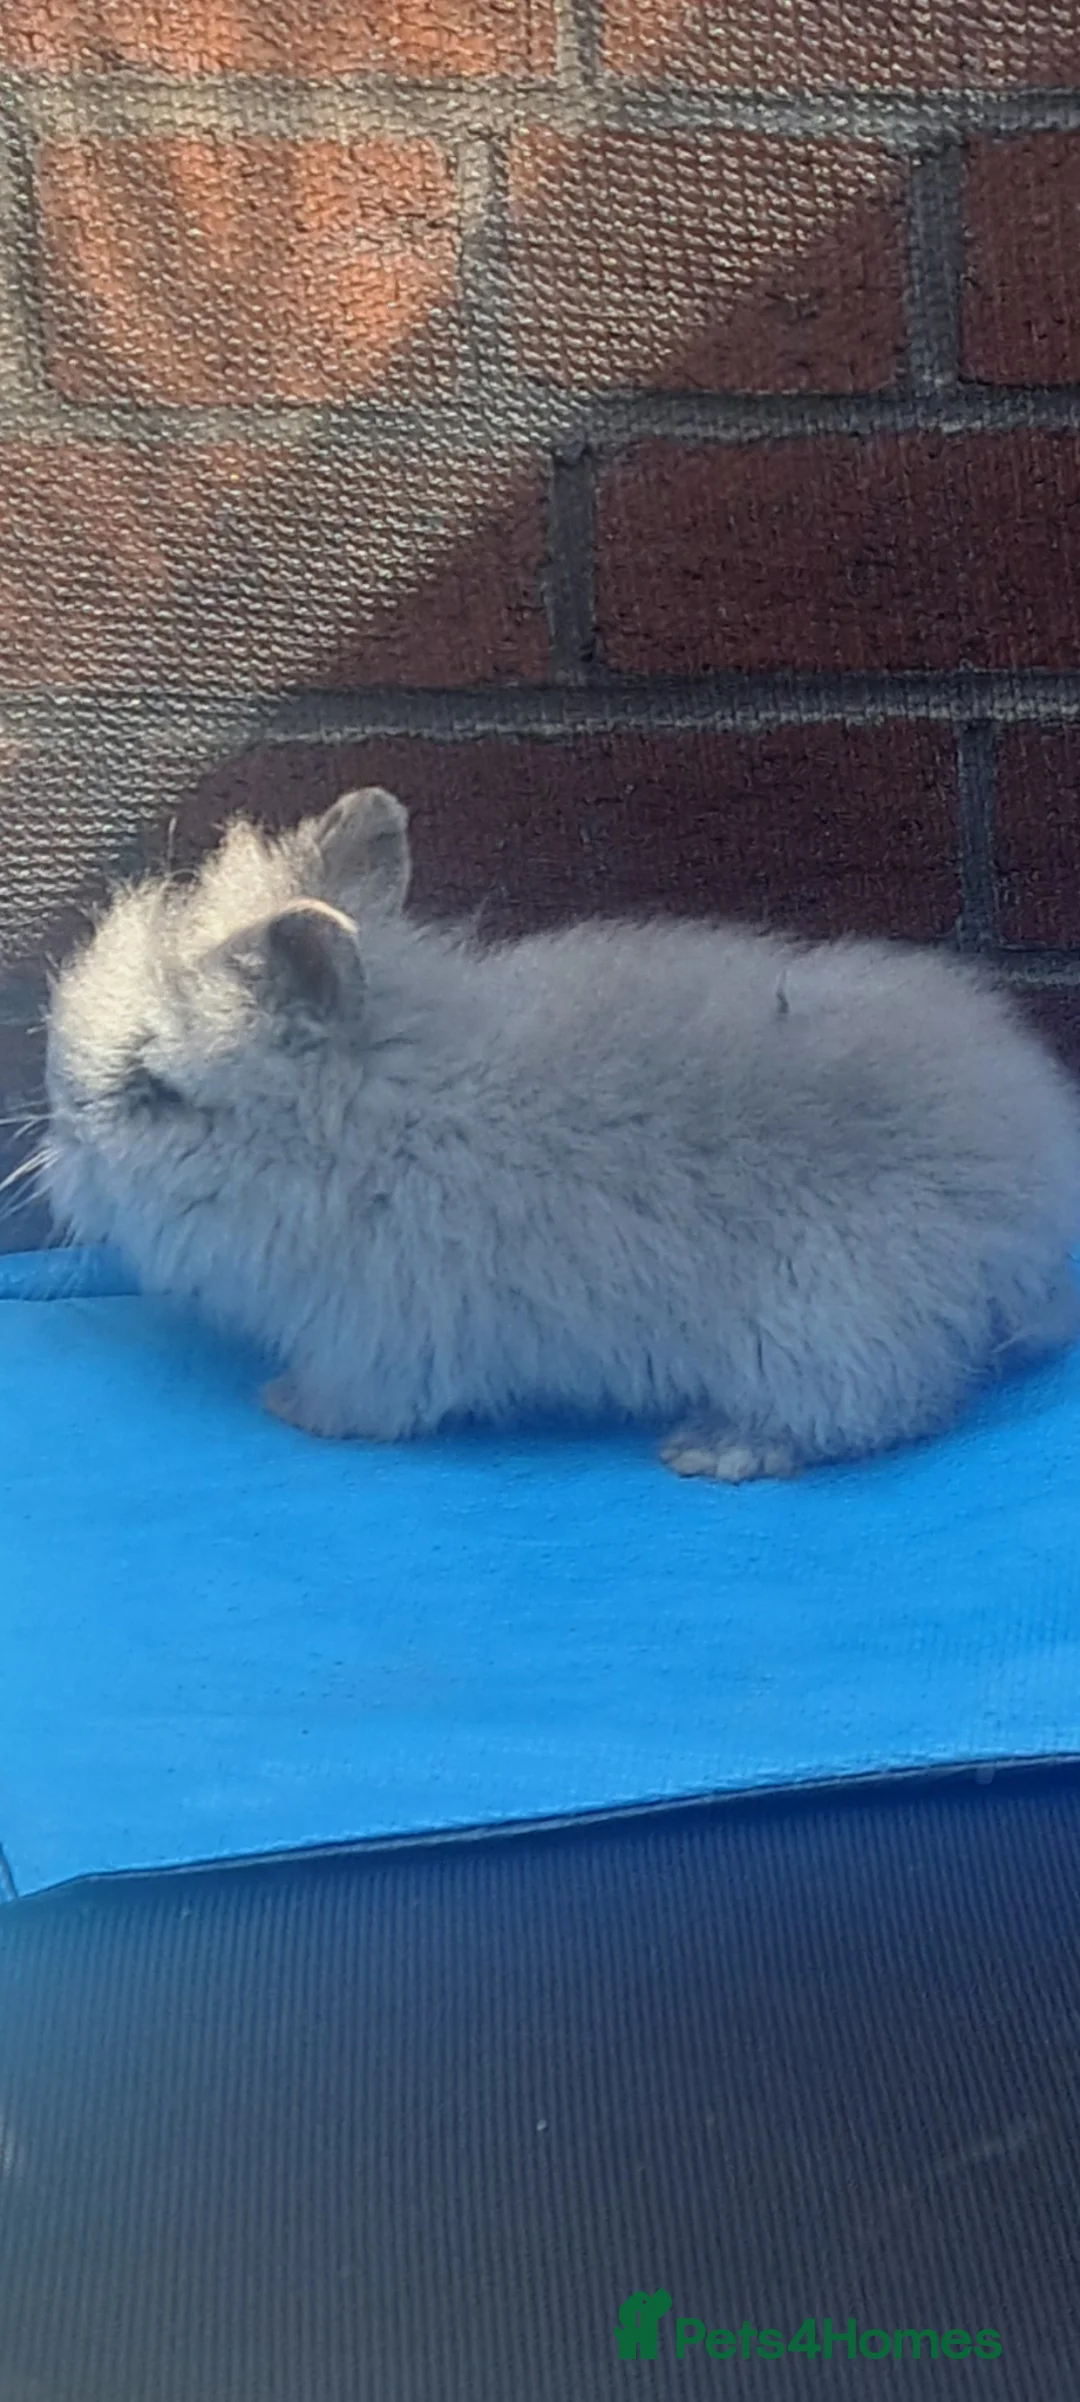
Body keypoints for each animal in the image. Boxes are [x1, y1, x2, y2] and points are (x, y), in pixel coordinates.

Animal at [44, 784, 1080, 1481]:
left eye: (154, 1092)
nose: (59, 1128)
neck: (374, 1120)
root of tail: (1035, 1212)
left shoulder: (379, 1336)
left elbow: (367, 1401)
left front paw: (293, 1409)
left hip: (820, 1328)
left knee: (878, 1410)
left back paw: (719, 1449)